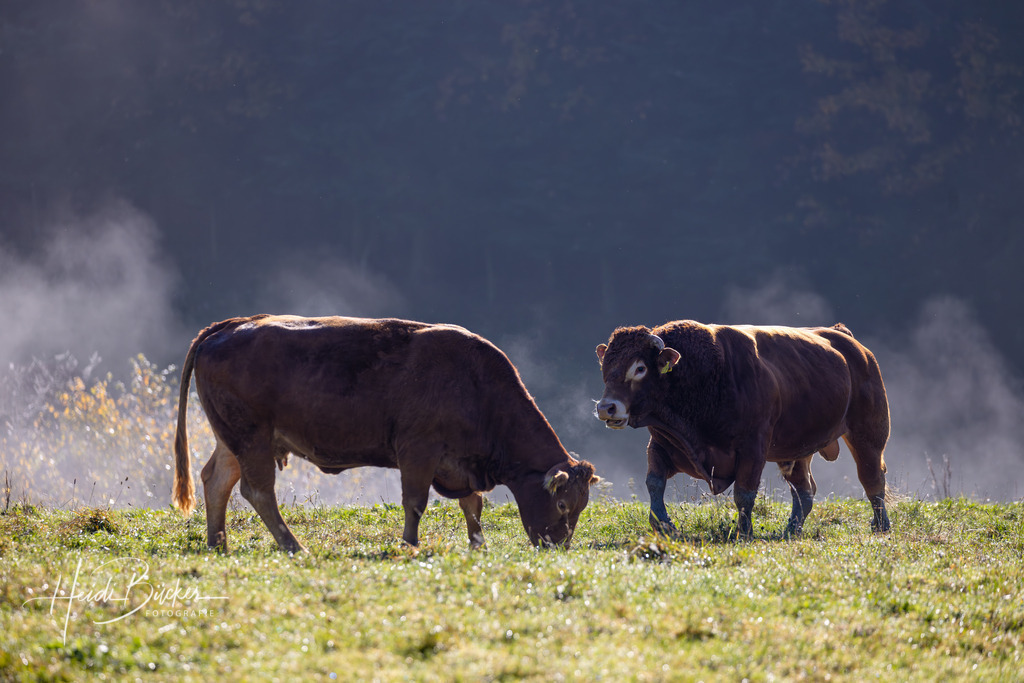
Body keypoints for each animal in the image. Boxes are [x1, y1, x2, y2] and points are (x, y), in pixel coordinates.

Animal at [172, 315, 599, 553]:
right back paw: (294, 546)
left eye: (581, 507)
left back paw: (218, 543)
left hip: (233, 440)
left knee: (216, 480)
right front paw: (409, 544)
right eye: (563, 504)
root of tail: (229, 326)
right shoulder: (418, 452)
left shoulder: (460, 464)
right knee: (257, 491)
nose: (559, 546)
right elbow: (415, 502)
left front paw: (478, 545)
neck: (476, 385)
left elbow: (472, 505)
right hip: (252, 439)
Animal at [594, 321, 891, 539]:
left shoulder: (752, 449)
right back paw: (791, 530)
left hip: (868, 435)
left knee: (872, 479)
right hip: (797, 451)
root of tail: (849, 342)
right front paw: (664, 525)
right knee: (805, 491)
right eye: (605, 368)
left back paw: (881, 525)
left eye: (640, 368)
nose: (606, 407)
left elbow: (744, 494)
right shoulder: (661, 444)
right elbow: (654, 482)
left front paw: (744, 532)